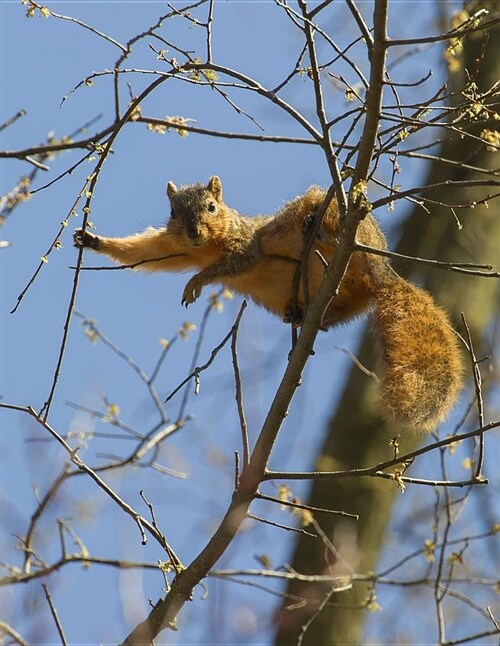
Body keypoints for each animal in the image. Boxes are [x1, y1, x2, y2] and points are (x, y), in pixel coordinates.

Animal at [74, 175, 464, 432]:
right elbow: (148, 252)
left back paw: (323, 233)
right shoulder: (176, 247)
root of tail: (383, 273)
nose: (194, 232)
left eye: (212, 206)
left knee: (329, 221)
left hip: (340, 220)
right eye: (172, 212)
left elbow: (237, 262)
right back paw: (305, 316)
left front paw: (196, 282)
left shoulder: (247, 245)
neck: (208, 247)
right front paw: (94, 240)